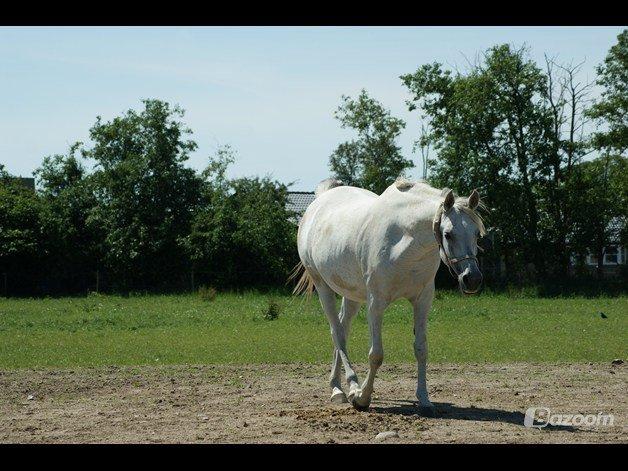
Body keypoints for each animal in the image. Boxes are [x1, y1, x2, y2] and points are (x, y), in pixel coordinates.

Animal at [294, 179, 486, 414]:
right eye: (448, 234)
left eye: (476, 233)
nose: (472, 279)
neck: (404, 240)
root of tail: (321, 199)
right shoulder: (376, 303)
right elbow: (376, 355)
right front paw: (363, 398)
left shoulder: (423, 300)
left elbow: (421, 349)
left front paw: (424, 399)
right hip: (323, 287)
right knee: (337, 333)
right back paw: (347, 389)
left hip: (352, 294)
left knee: (342, 328)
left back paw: (339, 386)